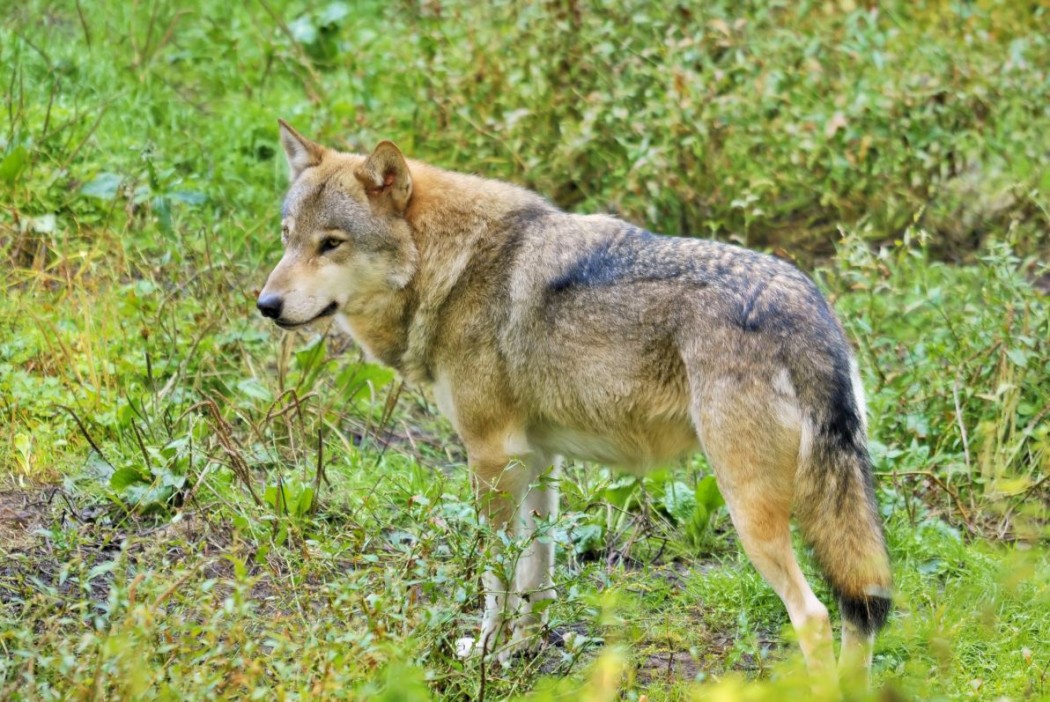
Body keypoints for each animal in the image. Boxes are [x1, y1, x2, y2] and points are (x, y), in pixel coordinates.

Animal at [257, 121, 892, 682]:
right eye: (287, 237)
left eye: (331, 244)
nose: (266, 304)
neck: (450, 267)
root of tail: (808, 308)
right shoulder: (538, 460)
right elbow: (535, 577)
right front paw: (522, 650)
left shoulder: (490, 458)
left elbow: (496, 578)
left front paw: (486, 655)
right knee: (861, 615)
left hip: (749, 511)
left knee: (814, 615)